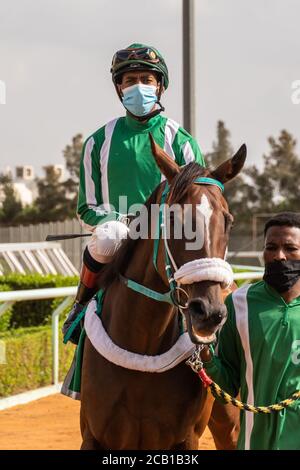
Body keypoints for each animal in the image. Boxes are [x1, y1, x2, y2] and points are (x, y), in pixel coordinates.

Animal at [79, 134, 246, 450]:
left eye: (229, 221)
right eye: (173, 220)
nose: (209, 313)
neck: (142, 348)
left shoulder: (186, 439)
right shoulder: (93, 436)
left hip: (229, 422)